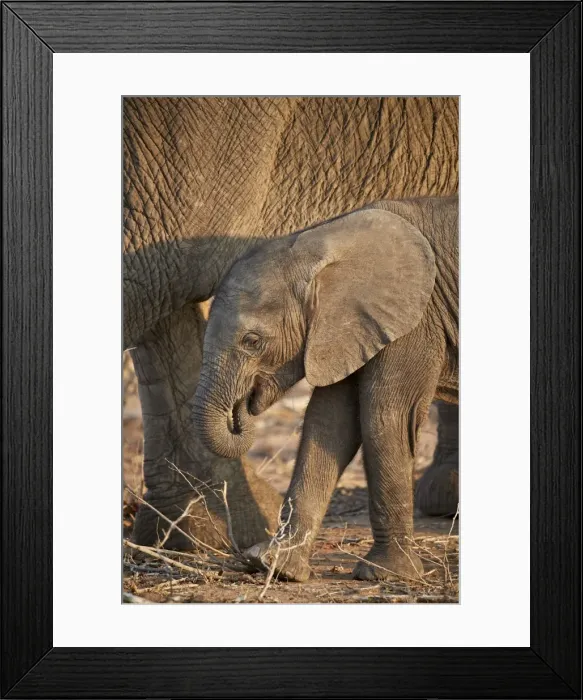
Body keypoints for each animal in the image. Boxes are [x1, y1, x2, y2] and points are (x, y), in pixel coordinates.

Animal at [192, 196, 458, 581]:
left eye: (252, 341)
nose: (241, 408)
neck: (318, 243)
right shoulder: (347, 328)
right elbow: (329, 422)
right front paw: (274, 565)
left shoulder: (416, 320)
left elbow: (384, 417)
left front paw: (385, 574)